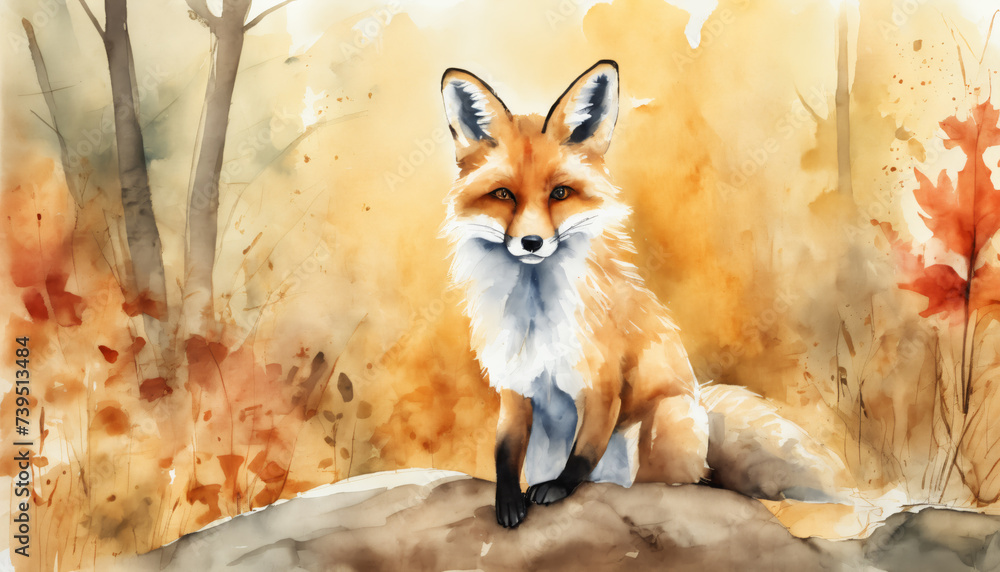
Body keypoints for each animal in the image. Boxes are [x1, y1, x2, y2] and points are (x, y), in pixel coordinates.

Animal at [440, 60, 844, 528]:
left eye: (560, 193)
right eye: (503, 194)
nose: (531, 243)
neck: (535, 315)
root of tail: (702, 408)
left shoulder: (601, 384)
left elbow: (584, 452)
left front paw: (557, 489)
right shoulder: (516, 386)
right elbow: (504, 451)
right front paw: (507, 501)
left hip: (667, 422)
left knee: (672, 485)